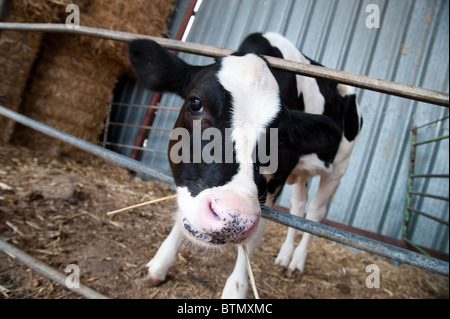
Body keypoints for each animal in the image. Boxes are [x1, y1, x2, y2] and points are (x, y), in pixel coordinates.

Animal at [128, 33, 360, 300]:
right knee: (299, 205)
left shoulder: (272, 186)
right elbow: (183, 215)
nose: (233, 217)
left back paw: (297, 262)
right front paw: (159, 265)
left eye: (281, 138)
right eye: (195, 103)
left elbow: (252, 240)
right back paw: (285, 257)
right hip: (301, 174)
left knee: (314, 212)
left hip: (338, 169)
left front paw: (235, 290)